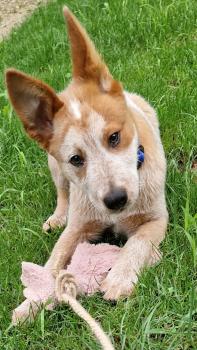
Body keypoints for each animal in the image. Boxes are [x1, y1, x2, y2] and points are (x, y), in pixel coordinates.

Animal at [5, 6, 168, 300]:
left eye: (114, 137)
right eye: (76, 159)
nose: (116, 199)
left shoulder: (156, 218)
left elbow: (137, 242)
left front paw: (120, 277)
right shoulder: (78, 227)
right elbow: (56, 257)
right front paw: (35, 299)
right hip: (53, 165)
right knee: (62, 194)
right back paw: (57, 216)